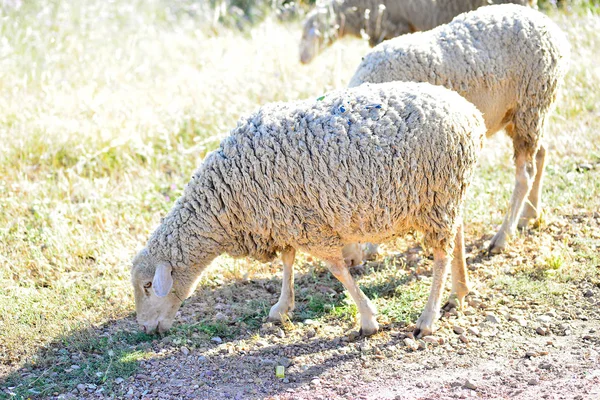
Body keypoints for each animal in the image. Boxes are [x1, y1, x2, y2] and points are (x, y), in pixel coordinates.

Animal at [132, 81, 488, 338]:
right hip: (445, 193)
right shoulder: (286, 218)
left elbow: (337, 270)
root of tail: (471, 113)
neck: (225, 199)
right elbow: (288, 261)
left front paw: (368, 320)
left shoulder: (310, 226)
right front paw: (281, 307)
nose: (146, 329)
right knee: (457, 231)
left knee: (440, 255)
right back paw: (460, 290)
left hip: (438, 193)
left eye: (148, 286)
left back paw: (427, 319)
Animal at [350, 3, 568, 256]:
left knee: (526, 173)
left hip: (531, 102)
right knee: (541, 153)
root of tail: (547, 23)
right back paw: (528, 215)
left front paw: (371, 246)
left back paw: (502, 236)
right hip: (520, 115)